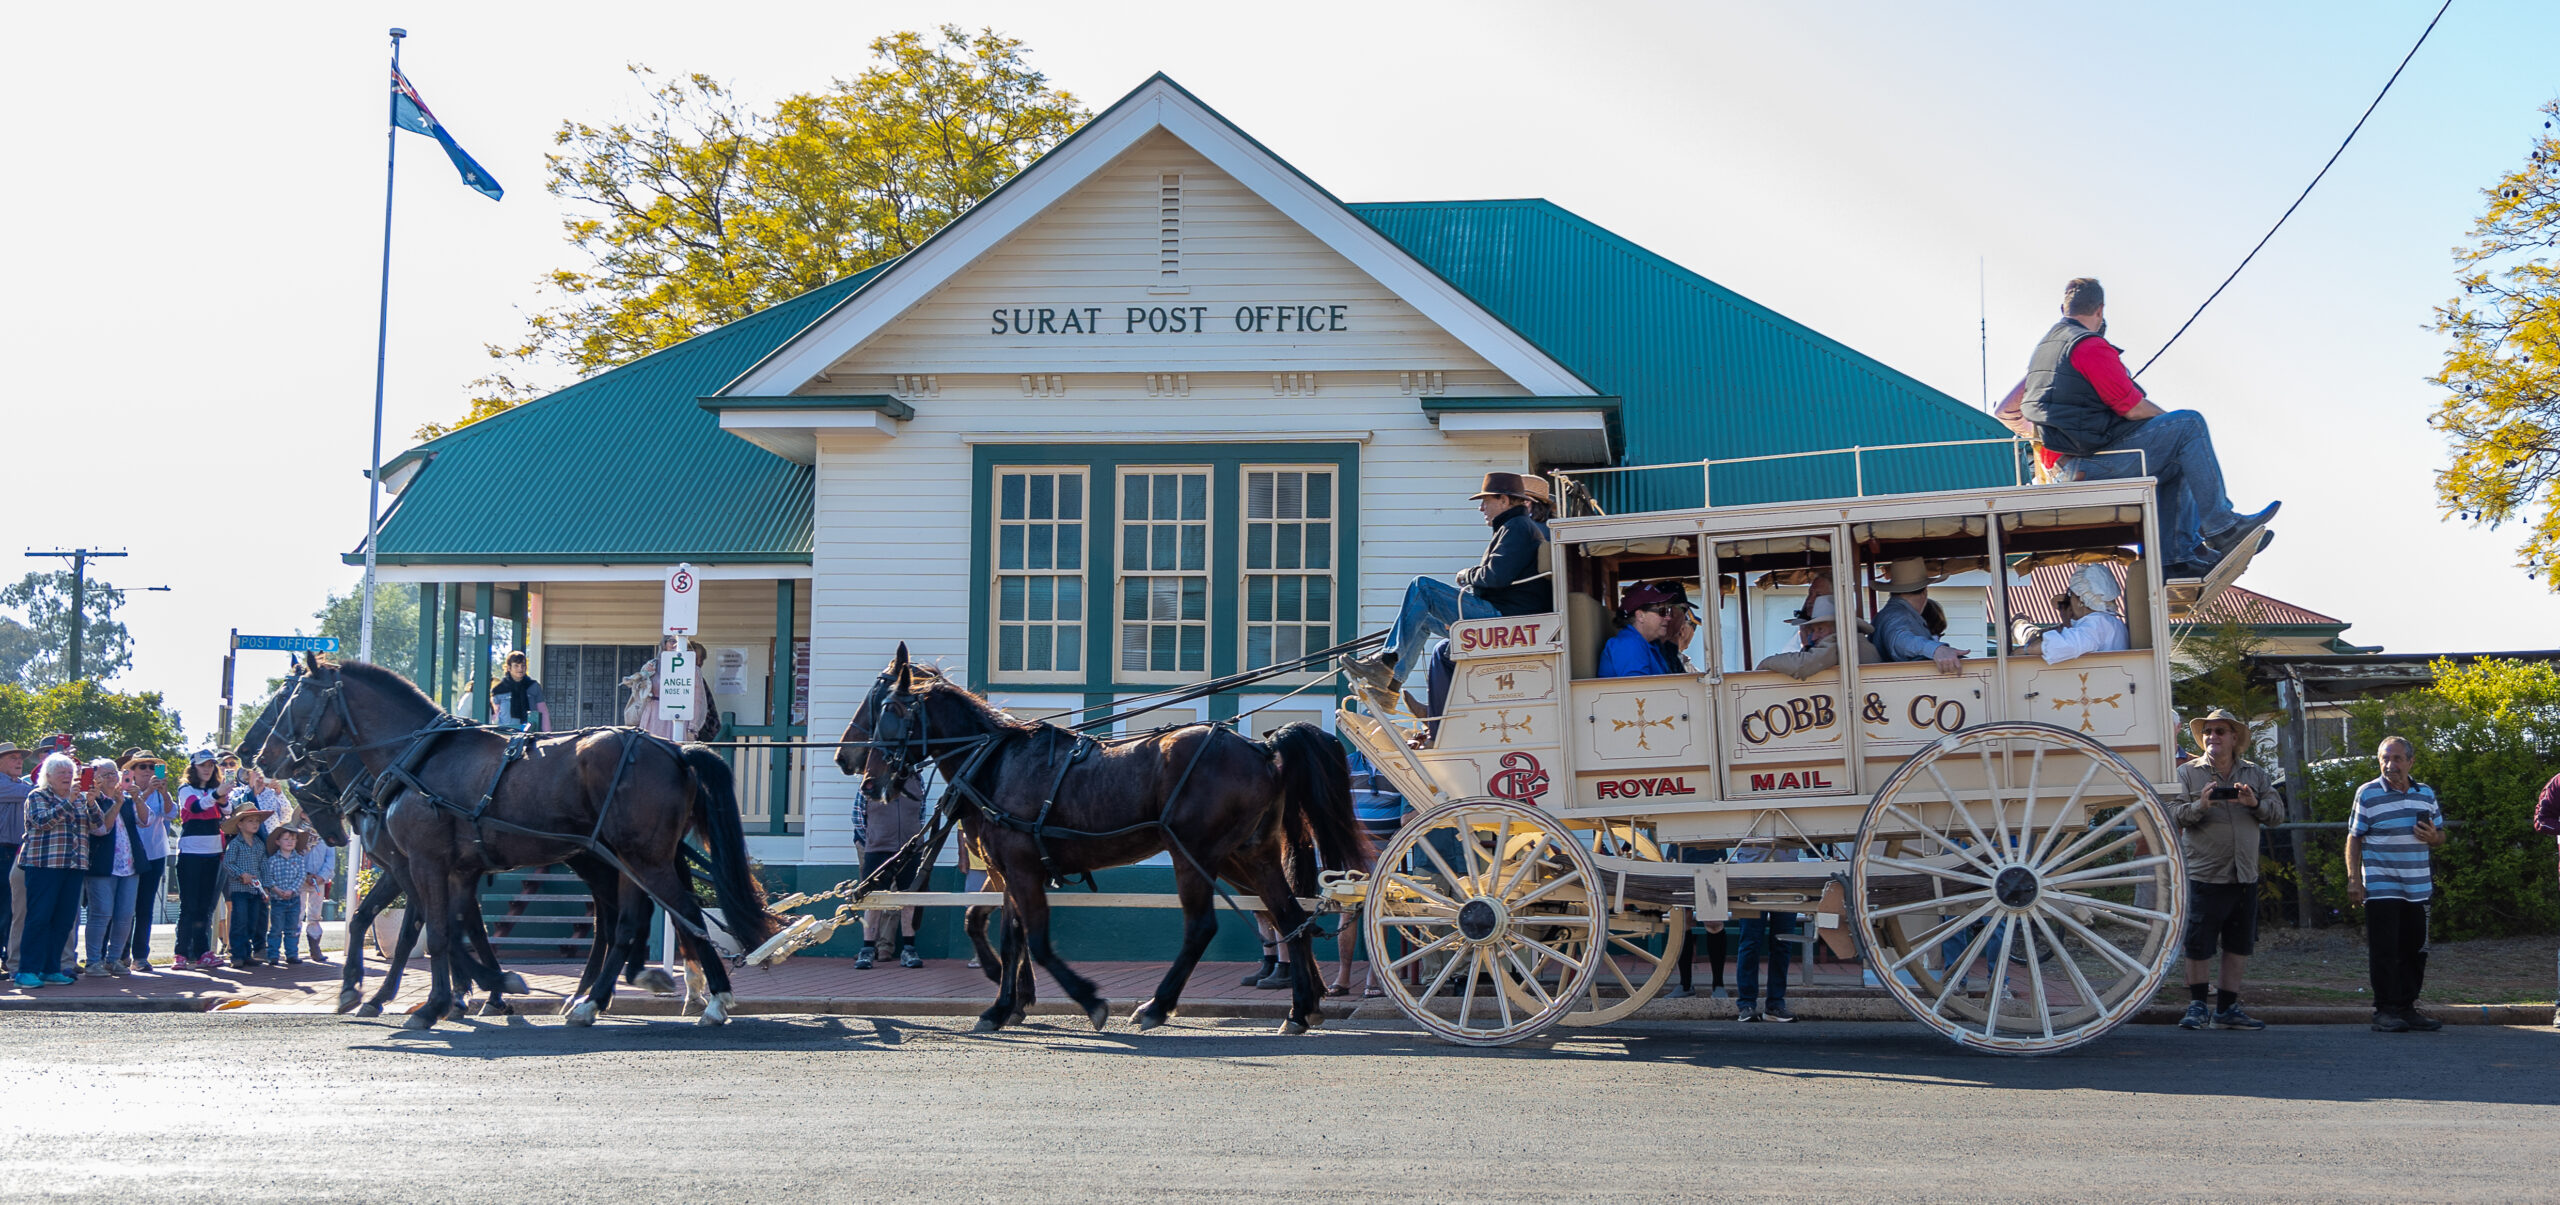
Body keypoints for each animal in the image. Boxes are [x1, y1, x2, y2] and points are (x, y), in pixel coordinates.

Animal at [258, 654, 783, 1033]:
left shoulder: (422, 862)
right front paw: (475, 991)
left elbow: (436, 931)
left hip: (640, 858)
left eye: (293, 699)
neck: (416, 757)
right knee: (633, 919)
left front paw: (436, 1002)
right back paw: (604, 995)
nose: (260, 754)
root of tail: (672, 747)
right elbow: (451, 928)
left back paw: (699, 999)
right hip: (624, 857)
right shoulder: (454, 868)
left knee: (674, 914)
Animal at [839, 649, 1372, 1038]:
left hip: (1194, 854)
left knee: (1202, 927)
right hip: (1247, 855)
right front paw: (1003, 1004)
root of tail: (1262, 747)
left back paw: (1157, 1006)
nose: (856, 767)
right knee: (1289, 916)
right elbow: (1004, 933)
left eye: (886, 708)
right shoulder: (1011, 869)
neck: (996, 763)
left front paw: (1089, 1001)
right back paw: (1300, 1010)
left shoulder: (1022, 869)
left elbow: (1036, 941)